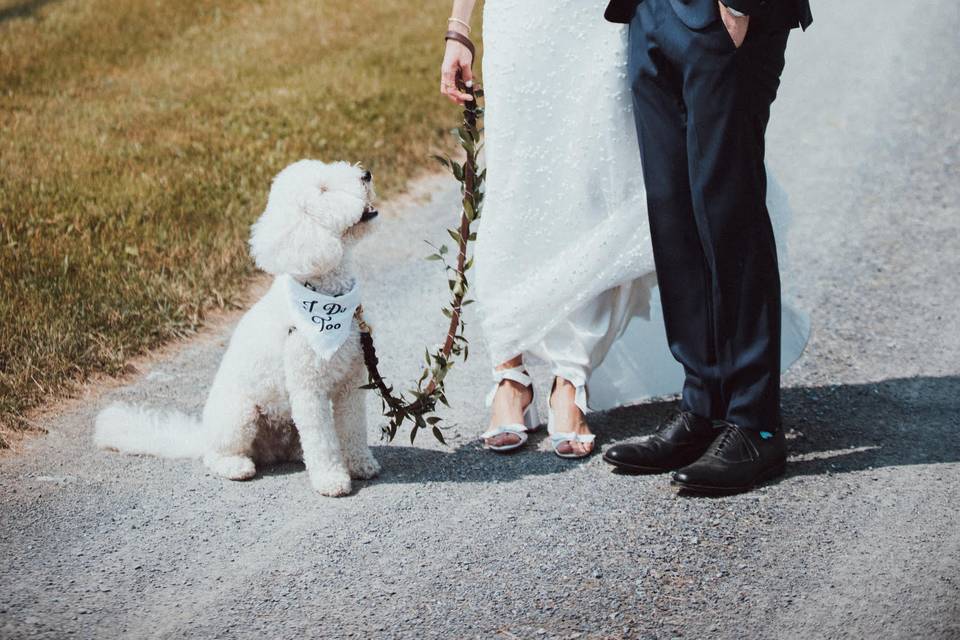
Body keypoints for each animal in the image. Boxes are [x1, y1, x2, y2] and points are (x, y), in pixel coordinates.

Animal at [95, 159, 380, 496]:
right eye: (324, 189)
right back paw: (237, 466)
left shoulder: (352, 381)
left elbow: (353, 428)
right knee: (216, 455)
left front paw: (360, 464)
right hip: (239, 415)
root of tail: (202, 435)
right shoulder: (309, 390)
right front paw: (331, 479)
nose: (366, 175)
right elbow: (322, 441)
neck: (326, 297)